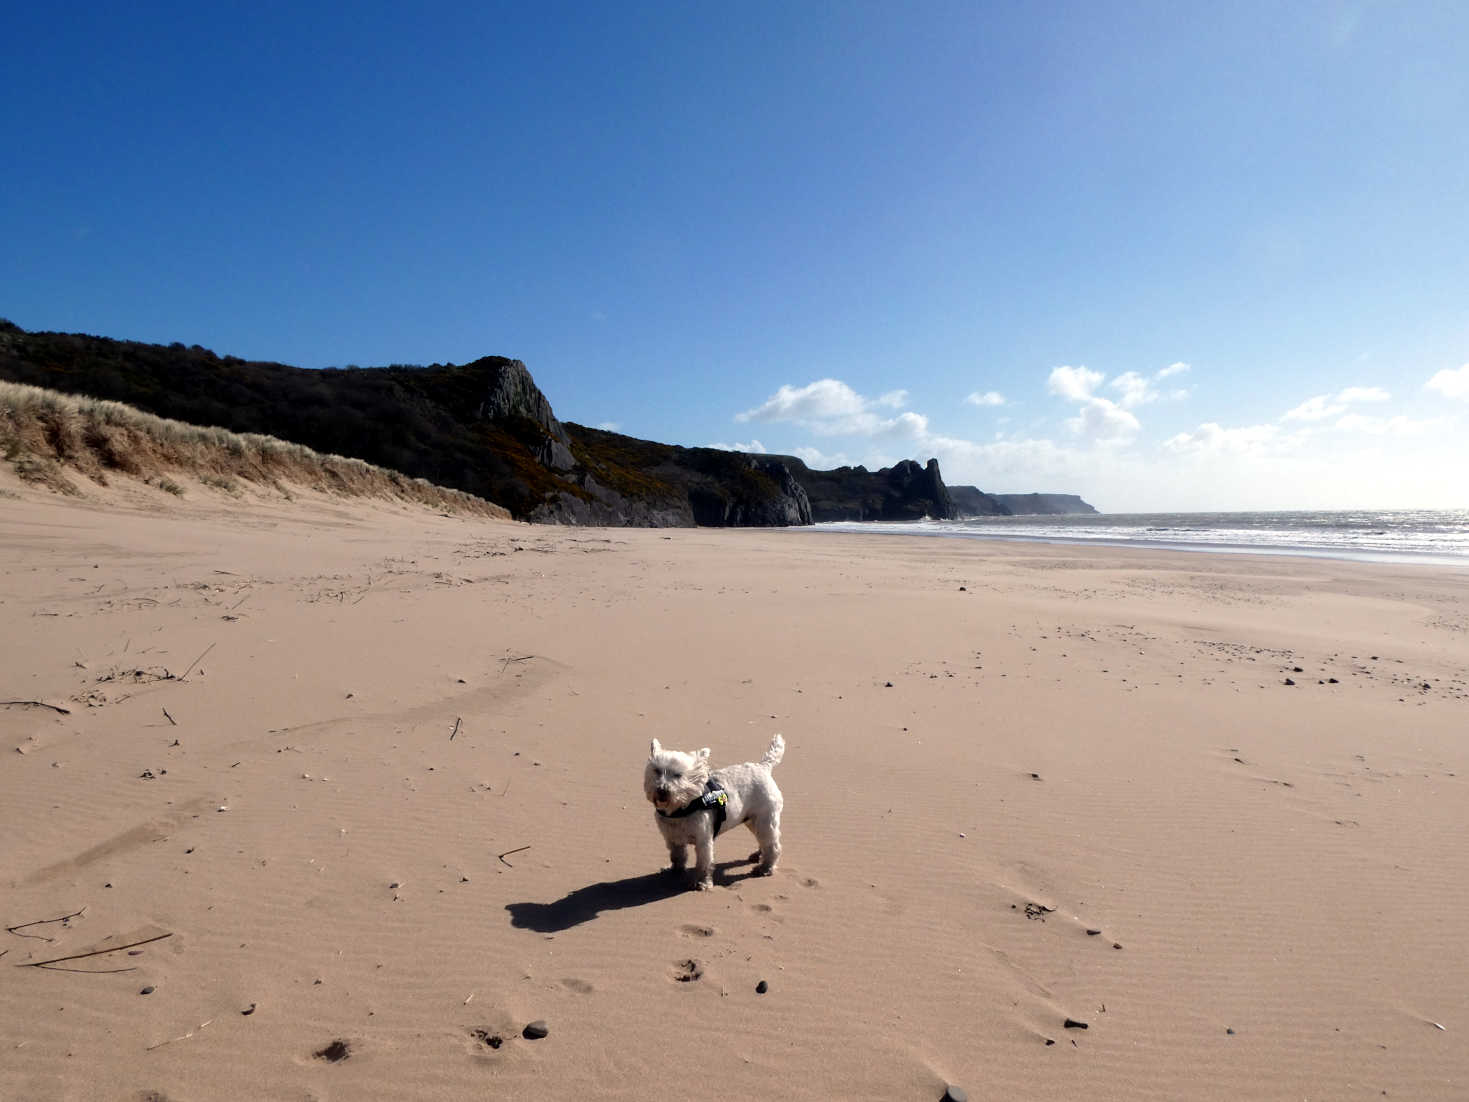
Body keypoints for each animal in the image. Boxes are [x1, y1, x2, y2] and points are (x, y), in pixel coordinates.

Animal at [640, 737, 781, 893]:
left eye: (678, 775)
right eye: (657, 771)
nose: (662, 790)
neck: (680, 809)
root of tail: (763, 767)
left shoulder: (703, 840)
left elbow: (703, 863)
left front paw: (702, 883)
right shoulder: (672, 838)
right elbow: (677, 856)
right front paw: (675, 870)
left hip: (765, 820)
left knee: (772, 845)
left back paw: (765, 868)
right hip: (752, 820)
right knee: (764, 840)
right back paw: (758, 855)